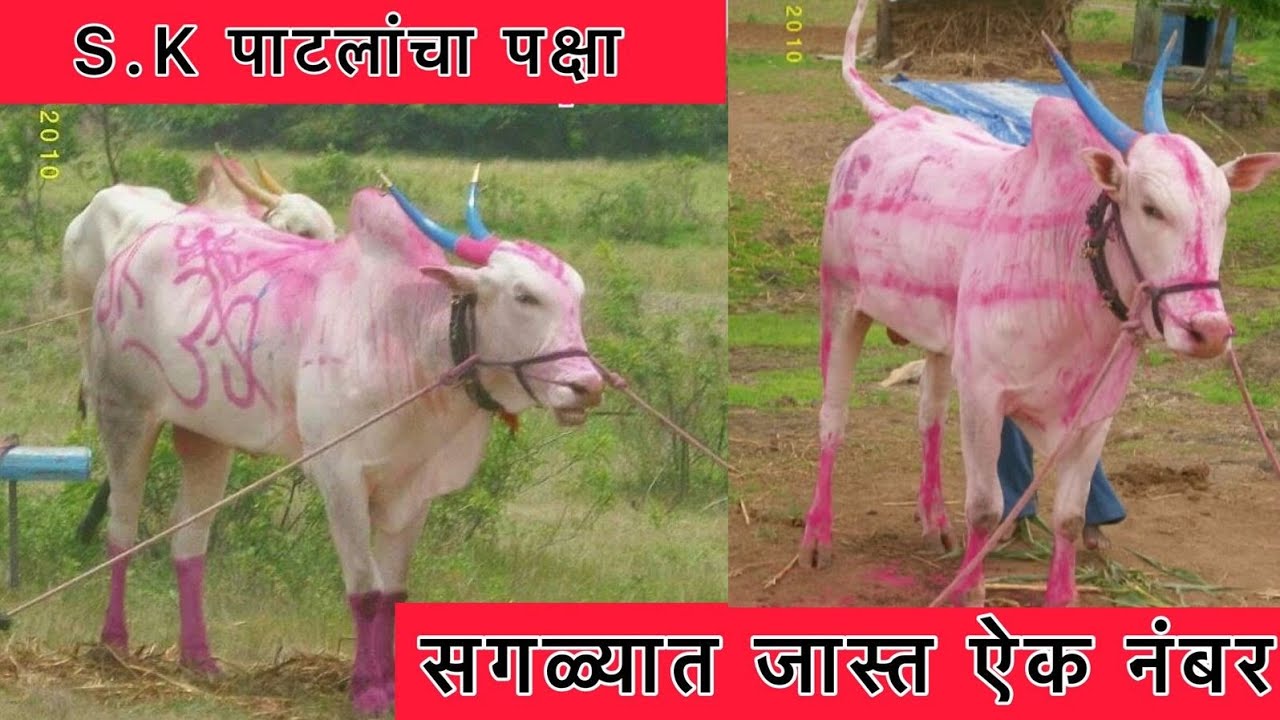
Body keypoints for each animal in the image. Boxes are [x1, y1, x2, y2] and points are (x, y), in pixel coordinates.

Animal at [87, 169, 604, 716]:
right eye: (524, 296)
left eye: (577, 296)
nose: (587, 386)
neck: (410, 336)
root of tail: (142, 241)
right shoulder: (342, 479)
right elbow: (366, 591)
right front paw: (368, 689)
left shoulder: (413, 491)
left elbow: (394, 593)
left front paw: (393, 686)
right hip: (126, 417)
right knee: (121, 532)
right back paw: (114, 645)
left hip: (207, 440)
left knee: (189, 542)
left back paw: (199, 659)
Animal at [803, 0, 1280, 607]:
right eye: (1150, 207)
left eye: (1223, 209)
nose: (1210, 331)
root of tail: (888, 121)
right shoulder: (984, 396)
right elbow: (986, 509)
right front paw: (971, 593)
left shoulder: (1093, 417)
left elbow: (1070, 518)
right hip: (841, 306)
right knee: (833, 420)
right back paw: (817, 539)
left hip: (939, 341)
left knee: (929, 417)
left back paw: (934, 523)